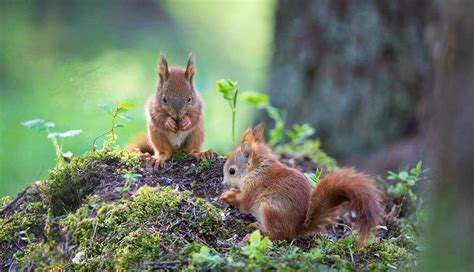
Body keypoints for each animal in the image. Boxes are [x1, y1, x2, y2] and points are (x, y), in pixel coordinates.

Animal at [220, 124, 384, 245]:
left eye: (232, 171)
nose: (224, 183)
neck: (257, 170)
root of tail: (298, 229)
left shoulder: (255, 186)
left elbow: (245, 203)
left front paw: (228, 196)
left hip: (269, 209)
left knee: (278, 236)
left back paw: (258, 233)